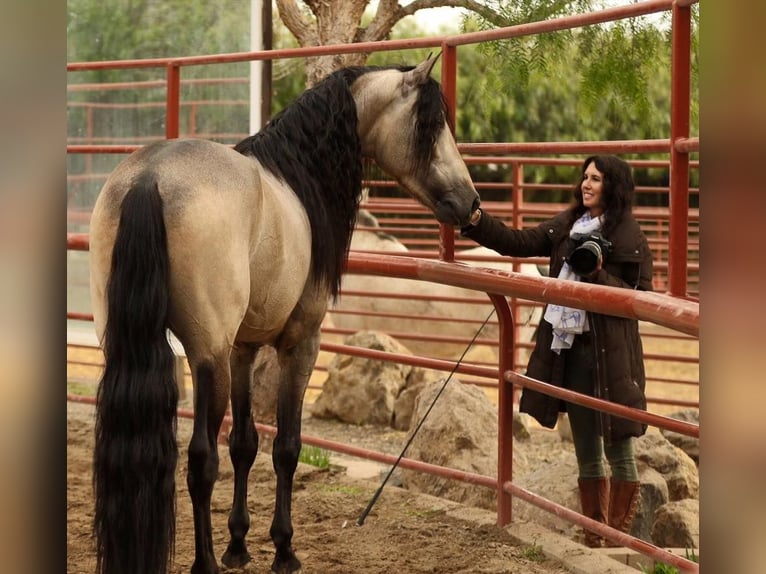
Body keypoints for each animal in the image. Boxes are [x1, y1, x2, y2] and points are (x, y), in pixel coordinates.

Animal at [88, 55, 480, 574]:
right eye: (430, 124)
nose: (471, 202)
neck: (295, 177)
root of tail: (148, 179)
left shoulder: (243, 350)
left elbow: (244, 444)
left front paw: (239, 545)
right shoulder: (300, 345)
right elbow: (286, 448)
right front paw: (283, 548)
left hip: (129, 345)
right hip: (206, 358)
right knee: (200, 460)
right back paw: (205, 563)